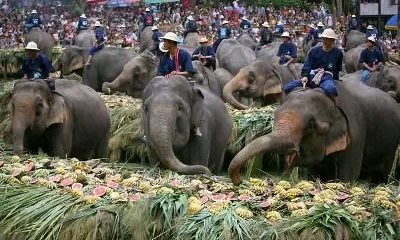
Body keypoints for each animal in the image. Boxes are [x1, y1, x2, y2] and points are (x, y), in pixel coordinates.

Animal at [227, 76, 400, 185]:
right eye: (275, 115)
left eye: (311, 125)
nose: (239, 181)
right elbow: (313, 174)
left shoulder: (356, 135)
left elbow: (348, 176)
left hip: (391, 145)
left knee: (382, 172)